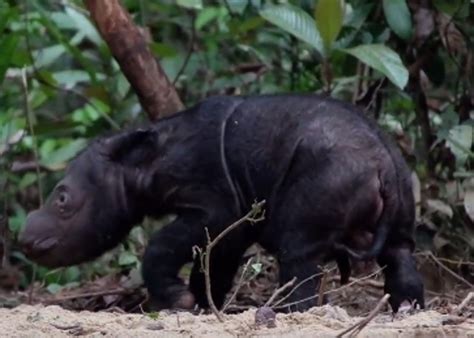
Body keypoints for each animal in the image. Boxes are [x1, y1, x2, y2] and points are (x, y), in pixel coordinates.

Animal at [18, 93, 426, 312]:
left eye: (63, 199)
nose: (24, 238)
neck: (143, 163)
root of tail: (381, 166)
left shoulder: (217, 206)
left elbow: (164, 245)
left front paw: (178, 300)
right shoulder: (236, 220)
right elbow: (215, 262)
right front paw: (201, 304)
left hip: (332, 172)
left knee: (298, 251)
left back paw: (286, 312)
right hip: (402, 182)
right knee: (399, 250)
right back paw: (407, 311)